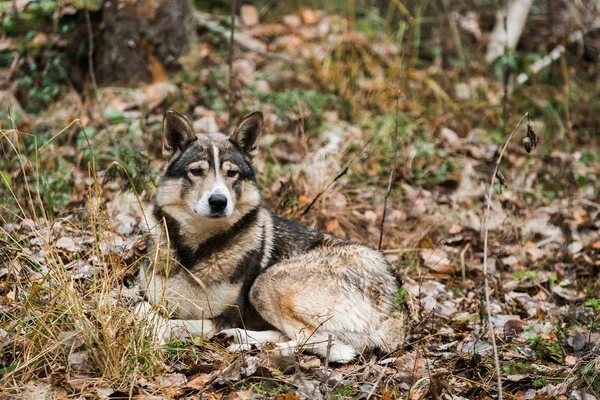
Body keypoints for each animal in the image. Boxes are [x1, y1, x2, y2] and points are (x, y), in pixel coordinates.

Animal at [138, 109, 406, 362]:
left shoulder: (222, 316)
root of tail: (395, 304)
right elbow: (144, 310)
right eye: (196, 171)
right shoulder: (151, 298)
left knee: (323, 342)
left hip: (265, 282)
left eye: (232, 173)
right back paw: (240, 338)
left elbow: (169, 321)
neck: (195, 252)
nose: (218, 201)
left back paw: (252, 348)